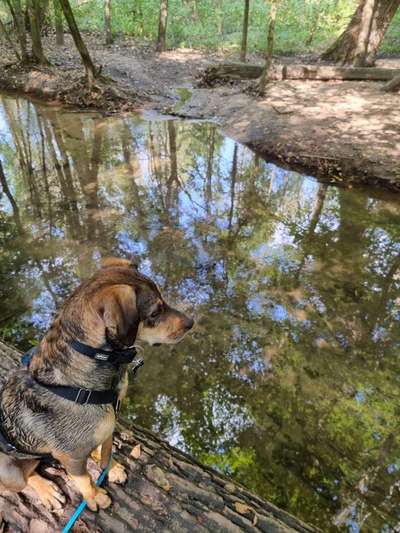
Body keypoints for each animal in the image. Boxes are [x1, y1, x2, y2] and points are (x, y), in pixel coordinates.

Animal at [0, 258, 194, 512]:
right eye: (155, 312)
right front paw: (95, 496)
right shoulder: (70, 457)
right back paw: (47, 491)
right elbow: (83, 479)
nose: (191, 323)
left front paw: (110, 468)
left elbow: (106, 448)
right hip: (10, 470)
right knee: (28, 476)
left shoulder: (110, 421)